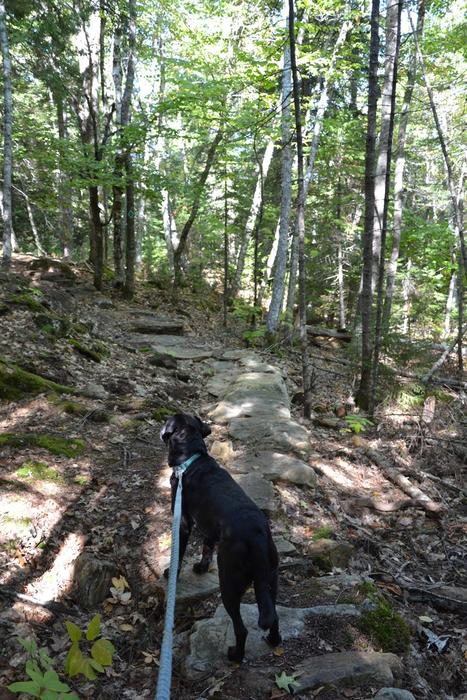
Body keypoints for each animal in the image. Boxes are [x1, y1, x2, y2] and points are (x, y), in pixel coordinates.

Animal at [160, 412, 282, 660]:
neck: (191, 460)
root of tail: (256, 537)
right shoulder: (208, 526)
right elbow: (207, 547)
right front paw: (201, 567)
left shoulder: (183, 522)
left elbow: (179, 553)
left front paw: (171, 572)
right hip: (269, 580)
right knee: (273, 615)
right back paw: (273, 641)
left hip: (229, 585)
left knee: (241, 628)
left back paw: (235, 655)